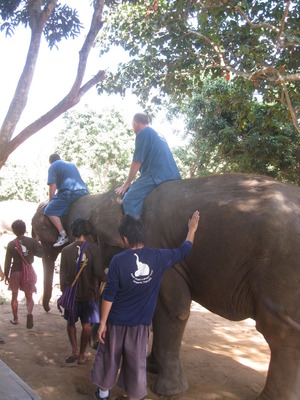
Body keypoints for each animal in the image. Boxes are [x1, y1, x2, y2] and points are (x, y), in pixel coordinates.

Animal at [31, 174, 300, 400]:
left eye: (98, 238)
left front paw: (167, 390)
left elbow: (174, 309)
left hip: (281, 272)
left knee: (279, 330)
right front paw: (151, 367)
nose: (47, 308)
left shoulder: (159, 247)